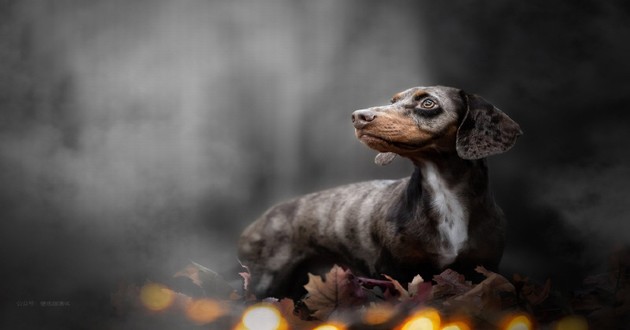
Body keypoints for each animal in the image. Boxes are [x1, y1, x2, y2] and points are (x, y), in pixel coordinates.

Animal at [237, 86, 524, 298]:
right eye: (393, 100)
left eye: (428, 103)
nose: (358, 116)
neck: (446, 198)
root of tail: (256, 223)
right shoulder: (396, 273)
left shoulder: (482, 268)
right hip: (265, 281)